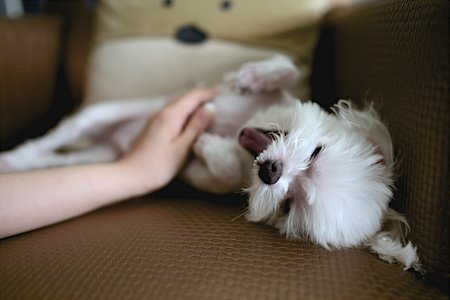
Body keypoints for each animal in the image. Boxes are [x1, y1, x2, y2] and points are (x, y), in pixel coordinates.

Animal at [0, 55, 422, 270]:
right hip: (100, 115)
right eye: (317, 153)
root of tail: (114, 142)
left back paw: (17, 163)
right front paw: (254, 76)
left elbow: (219, 171)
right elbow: (287, 68)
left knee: (55, 158)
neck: (244, 129)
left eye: (289, 205)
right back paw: (13, 156)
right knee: (59, 136)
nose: (272, 172)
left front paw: (208, 144)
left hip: (102, 156)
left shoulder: (212, 176)